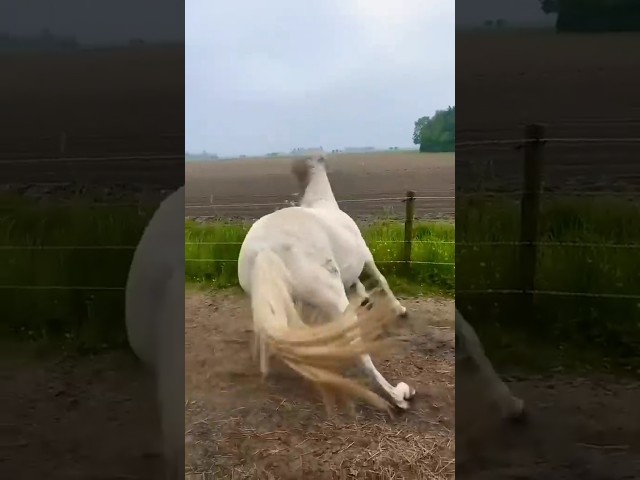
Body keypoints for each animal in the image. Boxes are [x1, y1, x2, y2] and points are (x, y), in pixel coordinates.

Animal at [237, 155, 416, 411]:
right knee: (360, 353)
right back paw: (399, 396)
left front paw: (366, 299)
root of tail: (265, 250)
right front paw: (399, 309)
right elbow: (381, 280)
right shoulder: (366, 257)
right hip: (335, 300)